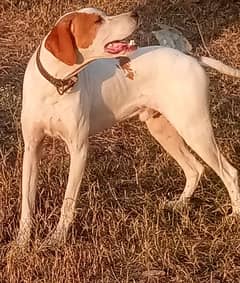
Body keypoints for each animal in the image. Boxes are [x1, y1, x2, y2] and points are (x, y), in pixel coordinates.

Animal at [17, 7, 240, 246]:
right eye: (97, 20)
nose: (135, 14)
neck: (56, 85)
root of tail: (191, 57)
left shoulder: (78, 150)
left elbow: (67, 202)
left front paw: (56, 239)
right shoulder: (32, 148)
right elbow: (27, 202)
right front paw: (21, 243)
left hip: (194, 129)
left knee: (229, 173)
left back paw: (234, 217)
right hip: (163, 130)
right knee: (195, 169)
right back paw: (179, 205)